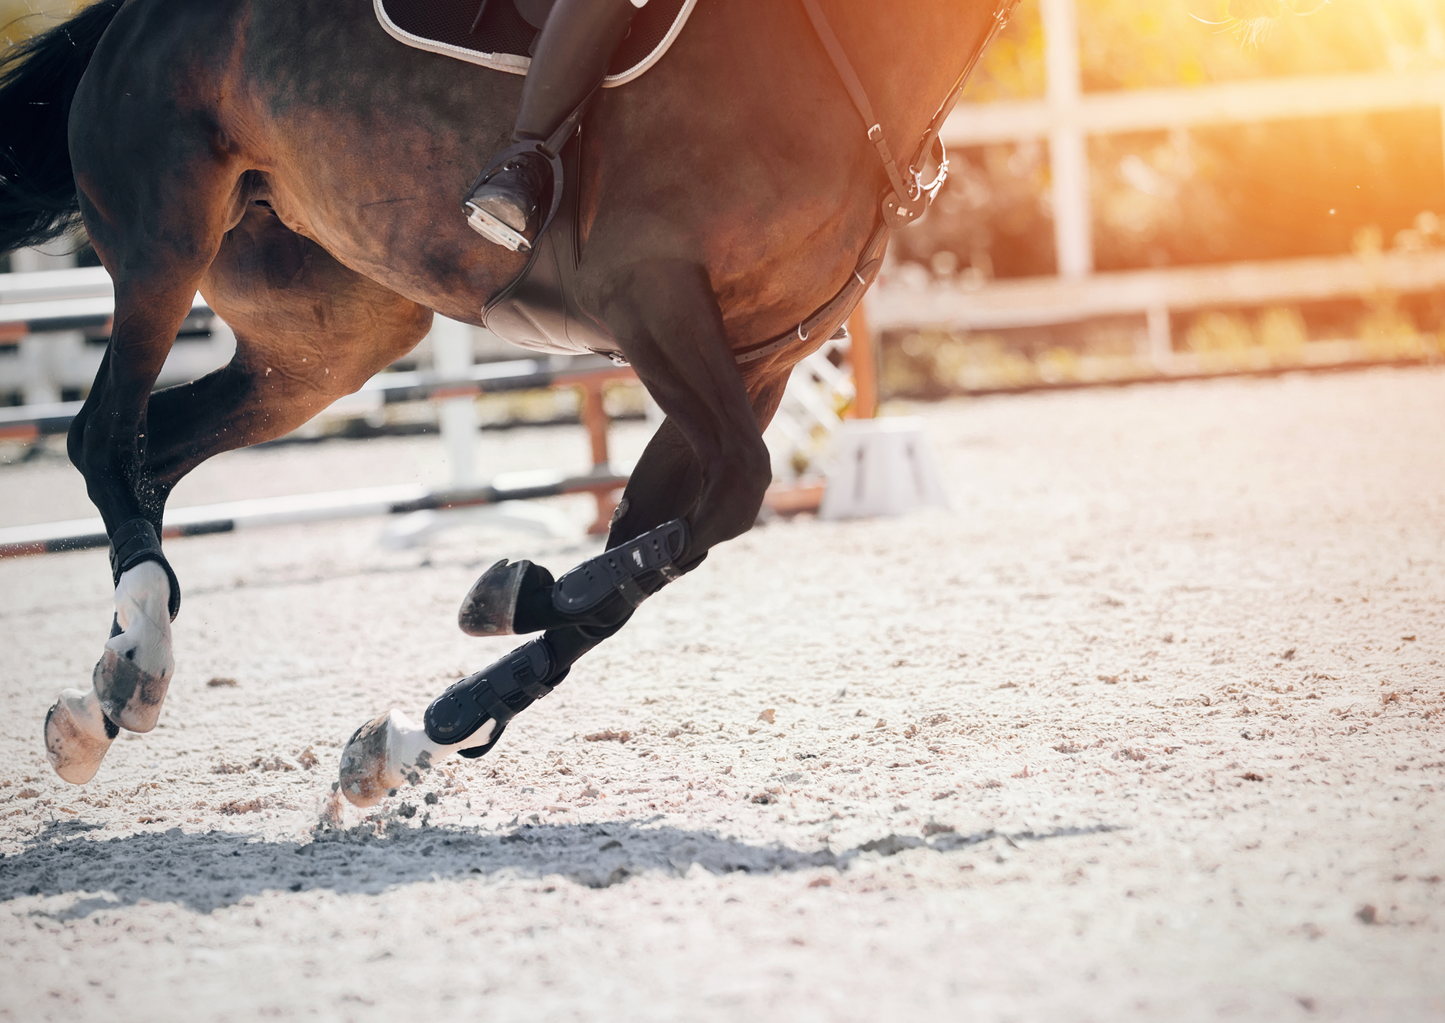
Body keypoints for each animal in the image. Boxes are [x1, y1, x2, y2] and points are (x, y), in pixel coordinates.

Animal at [0, 0, 1012, 804]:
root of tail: (128, 16)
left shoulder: (757, 363)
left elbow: (669, 540)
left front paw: (437, 718)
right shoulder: (654, 298)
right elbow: (723, 500)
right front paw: (521, 596)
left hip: (330, 338)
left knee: (157, 447)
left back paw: (109, 688)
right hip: (166, 240)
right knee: (101, 438)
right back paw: (132, 669)